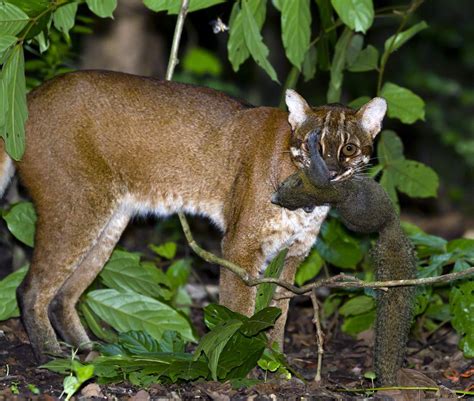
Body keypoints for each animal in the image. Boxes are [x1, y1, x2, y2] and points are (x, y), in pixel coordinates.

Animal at [272, 130, 416, 382]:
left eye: (282, 186)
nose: (274, 199)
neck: (311, 191)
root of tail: (390, 225)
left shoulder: (322, 185)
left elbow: (321, 177)